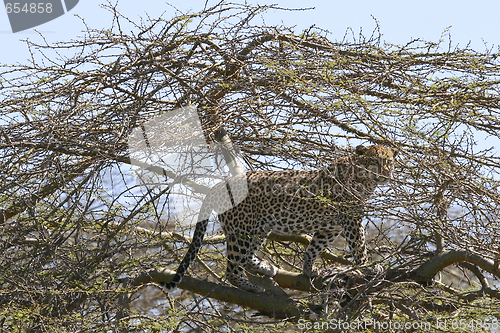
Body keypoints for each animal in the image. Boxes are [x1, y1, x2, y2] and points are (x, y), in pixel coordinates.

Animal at [162, 144, 396, 292]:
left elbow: (314, 248)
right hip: (242, 229)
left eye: (389, 162)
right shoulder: (351, 220)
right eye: (374, 161)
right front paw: (369, 267)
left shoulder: (331, 227)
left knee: (248, 255)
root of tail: (220, 184)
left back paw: (266, 267)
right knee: (232, 269)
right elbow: (359, 246)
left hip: (258, 228)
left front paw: (308, 270)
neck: (364, 181)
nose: (385, 174)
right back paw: (253, 287)